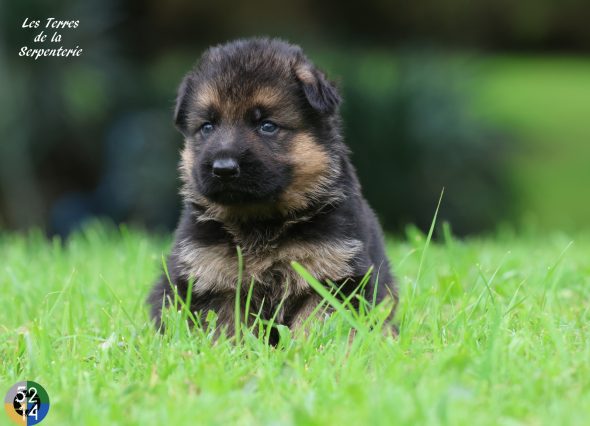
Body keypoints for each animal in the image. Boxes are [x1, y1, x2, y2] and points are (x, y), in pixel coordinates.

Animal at [148, 38, 398, 342]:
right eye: (207, 127)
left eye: (267, 126)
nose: (223, 168)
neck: (261, 223)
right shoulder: (211, 278)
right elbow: (226, 329)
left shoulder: (331, 275)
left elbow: (314, 325)